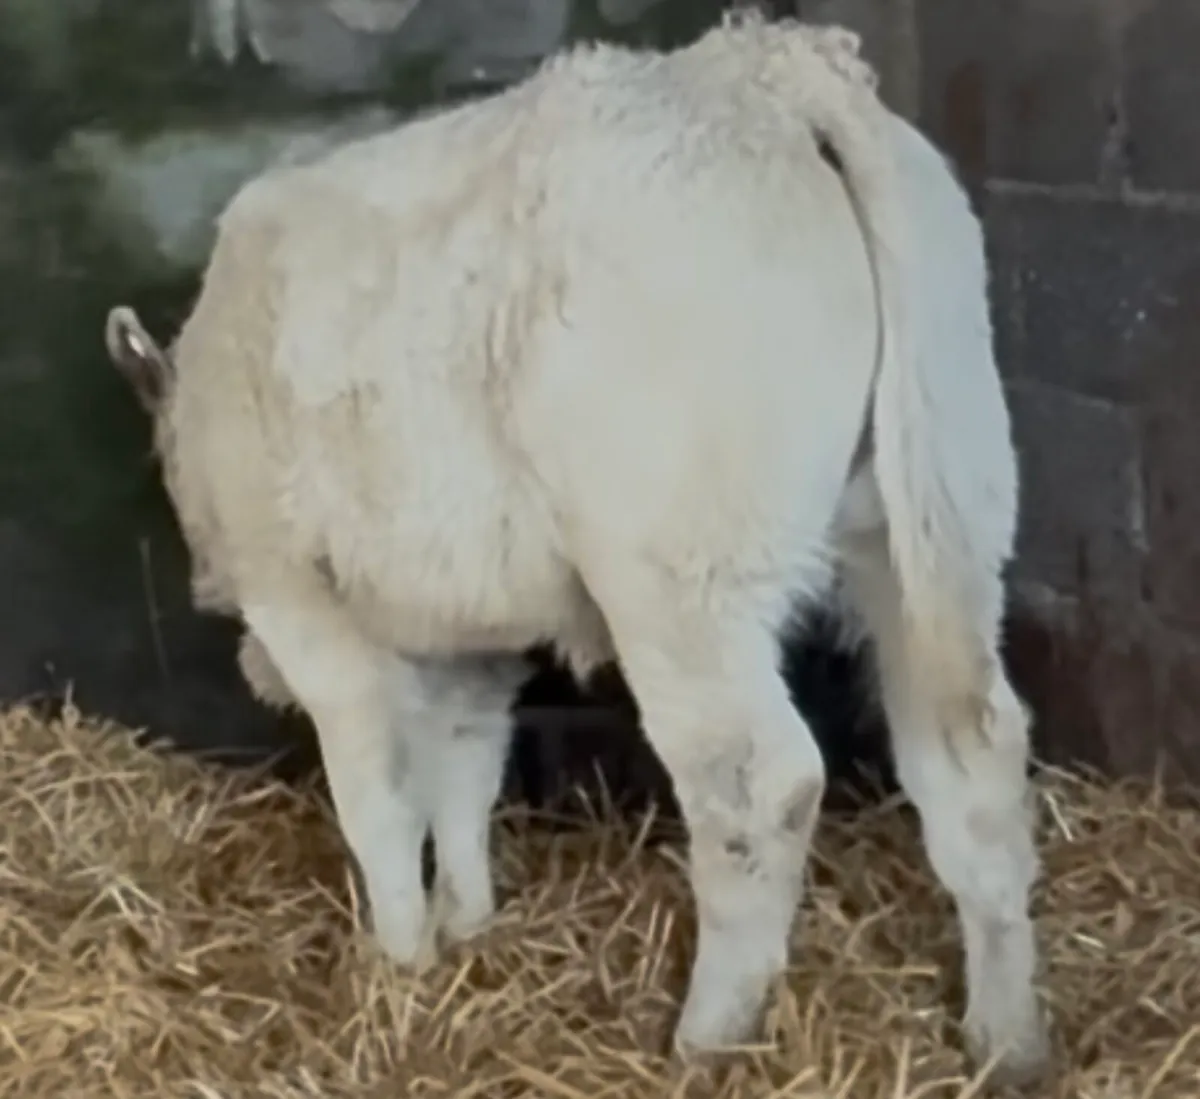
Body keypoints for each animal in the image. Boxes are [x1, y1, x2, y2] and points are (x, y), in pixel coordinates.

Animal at [102, 12, 1049, 1083]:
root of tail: (769, 75)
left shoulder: (300, 601)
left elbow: (377, 788)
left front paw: (397, 966)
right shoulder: (466, 634)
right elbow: (464, 766)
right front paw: (465, 925)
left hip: (681, 580)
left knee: (756, 784)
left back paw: (705, 1036)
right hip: (940, 520)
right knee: (972, 750)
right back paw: (1006, 1040)